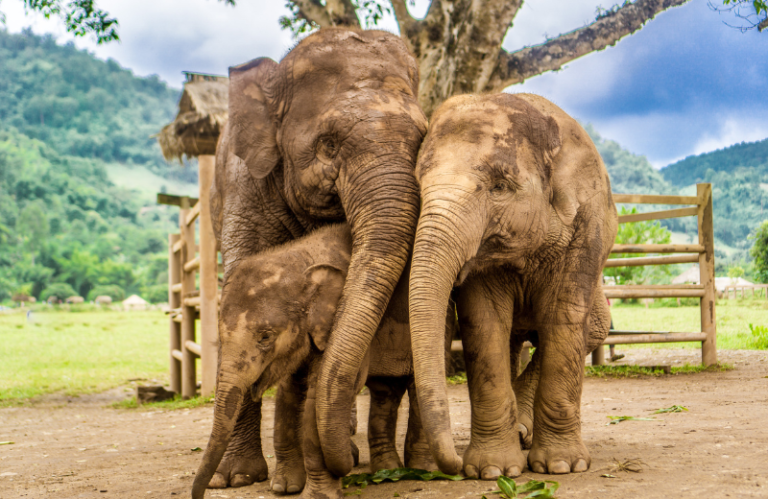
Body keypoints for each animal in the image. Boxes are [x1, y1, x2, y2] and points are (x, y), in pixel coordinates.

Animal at [191, 225, 450, 498]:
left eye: (265, 337)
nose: (202, 493)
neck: (299, 260)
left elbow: (319, 392)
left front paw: (318, 493)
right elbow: (290, 390)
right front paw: (284, 488)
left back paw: (421, 469)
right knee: (385, 390)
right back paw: (387, 468)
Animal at [408, 94, 616, 480]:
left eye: (500, 187)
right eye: (417, 186)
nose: (452, 465)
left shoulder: (586, 227)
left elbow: (563, 317)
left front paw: (563, 466)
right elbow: (483, 323)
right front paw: (492, 472)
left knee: (592, 329)